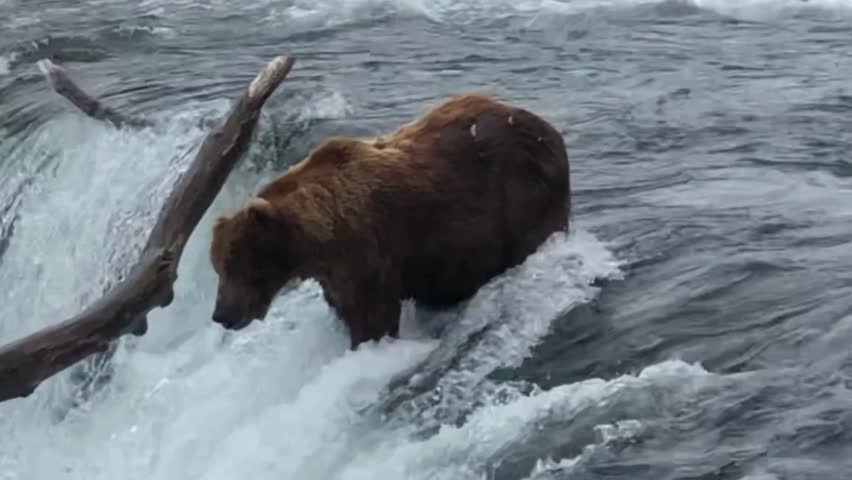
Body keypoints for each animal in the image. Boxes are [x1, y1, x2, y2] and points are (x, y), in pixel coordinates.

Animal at [209, 93, 571, 349]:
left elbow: (373, 317)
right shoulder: (337, 275)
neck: (317, 243)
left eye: (234, 264)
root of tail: (550, 130)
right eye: (218, 267)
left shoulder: (368, 254)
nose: (222, 316)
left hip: (519, 197)